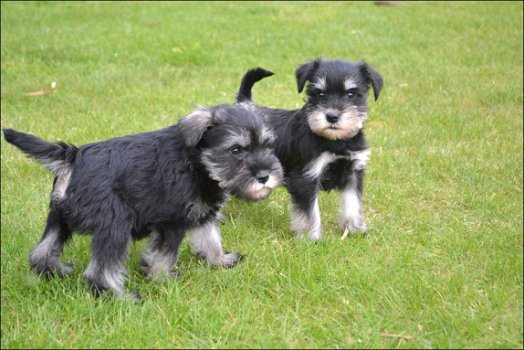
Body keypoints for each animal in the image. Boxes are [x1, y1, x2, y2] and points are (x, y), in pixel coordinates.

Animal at [236, 59, 380, 241]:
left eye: (351, 94)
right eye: (320, 94)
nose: (332, 117)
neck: (335, 141)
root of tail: (244, 105)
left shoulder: (353, 172)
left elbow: (352, 202)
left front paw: (354, 230)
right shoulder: (306, 177)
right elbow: (309, 212)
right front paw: (310, 238)